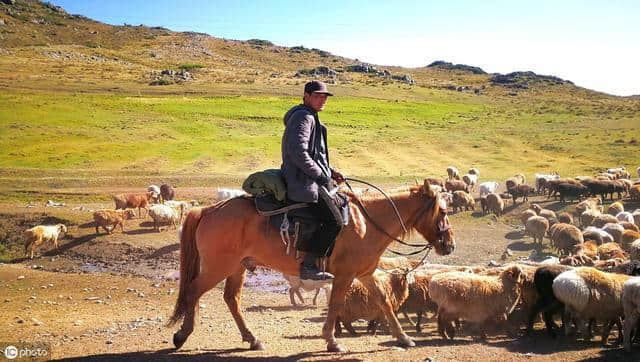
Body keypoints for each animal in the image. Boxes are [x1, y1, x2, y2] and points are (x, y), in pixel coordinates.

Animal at [168, 180, 452, 352]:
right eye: (443, 211)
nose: (449, 245)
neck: (366, 222)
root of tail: (209, 210)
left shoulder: (365, 273)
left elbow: (384, 302)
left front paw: (404, 338)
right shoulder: (345, 275)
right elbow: (335, 304)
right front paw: (332, 341)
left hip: (237, 267)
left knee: (231, 299)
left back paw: (252, 339)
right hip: (218, 267)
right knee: (193, 292)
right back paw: (181, 336)